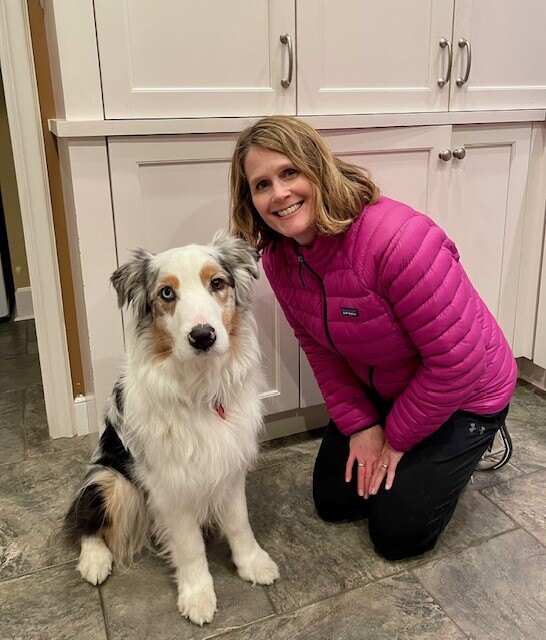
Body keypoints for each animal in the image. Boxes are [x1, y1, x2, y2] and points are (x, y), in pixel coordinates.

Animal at [61, 231, 278, 624]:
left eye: (217, 283)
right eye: (166, 293)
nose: (203, 336)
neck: (200, 387)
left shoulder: (230, 463)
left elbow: (239, 521)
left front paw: (253, 563)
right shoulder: (169, 482)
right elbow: (189, 545)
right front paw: (198, 596)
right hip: (111, 480)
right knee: (85, 520)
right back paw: (94, 562)